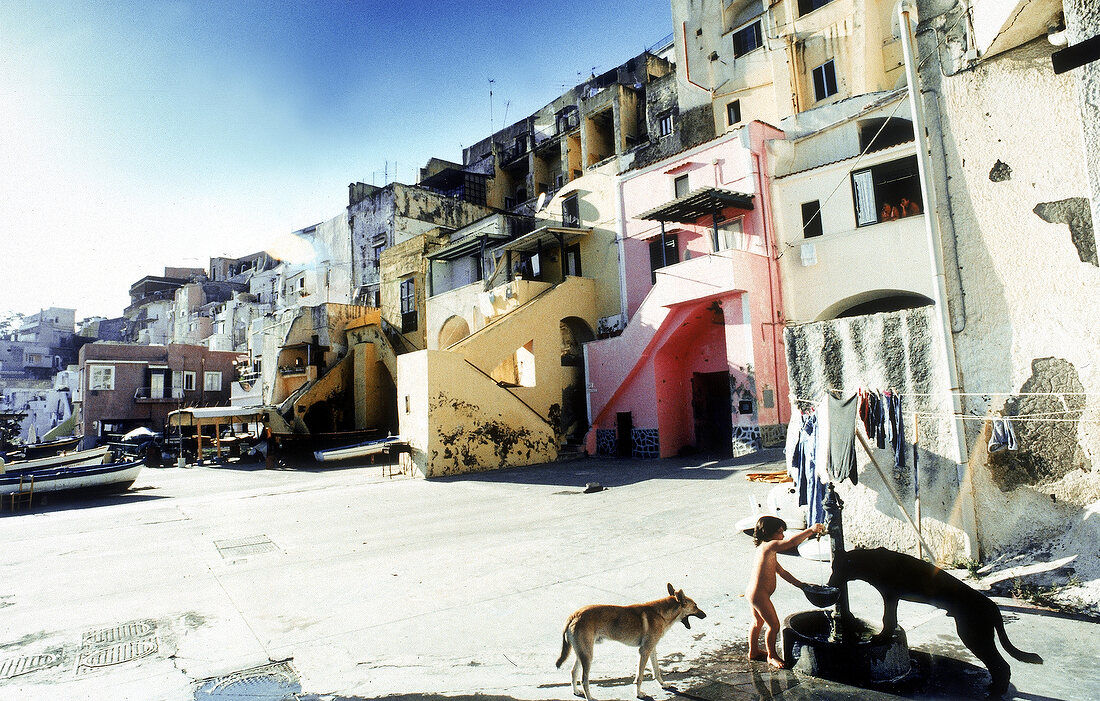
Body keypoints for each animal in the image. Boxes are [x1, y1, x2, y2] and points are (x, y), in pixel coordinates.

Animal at [554, 581, 708, 695]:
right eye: (695, 606)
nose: (705, 615)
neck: (661, 614)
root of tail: (574, 615)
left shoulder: (651, 649)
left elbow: (657, 670)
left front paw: (663, 684)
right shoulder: (644, 651)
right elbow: (640, 677)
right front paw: (639, 694)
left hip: (582, 653)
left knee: (573, 672)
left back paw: (576, 691)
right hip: (587, 656)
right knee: (584, 680)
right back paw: (590, 698)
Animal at [827, 545, 1042, 695]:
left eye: (836, 569)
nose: (829, 584)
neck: (871, 561)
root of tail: (993, 607)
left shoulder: (890, 596)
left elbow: (888, 619)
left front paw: (882, 637)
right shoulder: (892, 598)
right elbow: (890, 619)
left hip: (974, 636)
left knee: (1001, 665)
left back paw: (997, 691)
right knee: (998, 666)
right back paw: (995, 687)